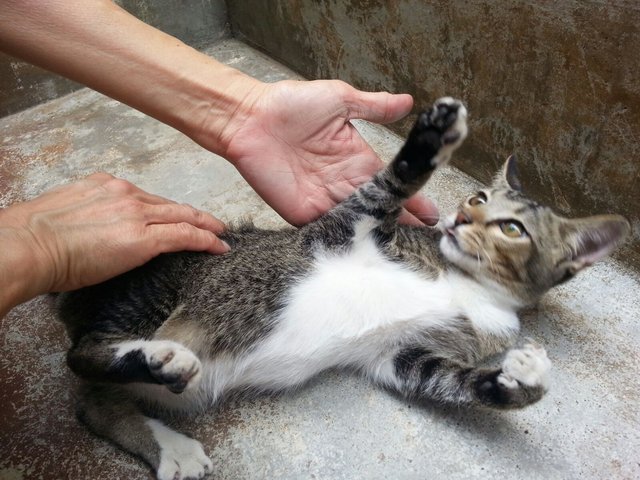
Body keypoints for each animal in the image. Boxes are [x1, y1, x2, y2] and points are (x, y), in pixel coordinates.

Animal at [55, 97, 632, 480]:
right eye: (477, 197)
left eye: (513, 228)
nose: (460, 218)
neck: (461, 281)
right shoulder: (346, 224)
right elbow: (391, 182)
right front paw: (430, 137)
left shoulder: (401, 356)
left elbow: (455, 380)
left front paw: (519, 381)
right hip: (155, 287)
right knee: (82, 357)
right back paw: (159, 362)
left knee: (95, 399)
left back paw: (167, 437)